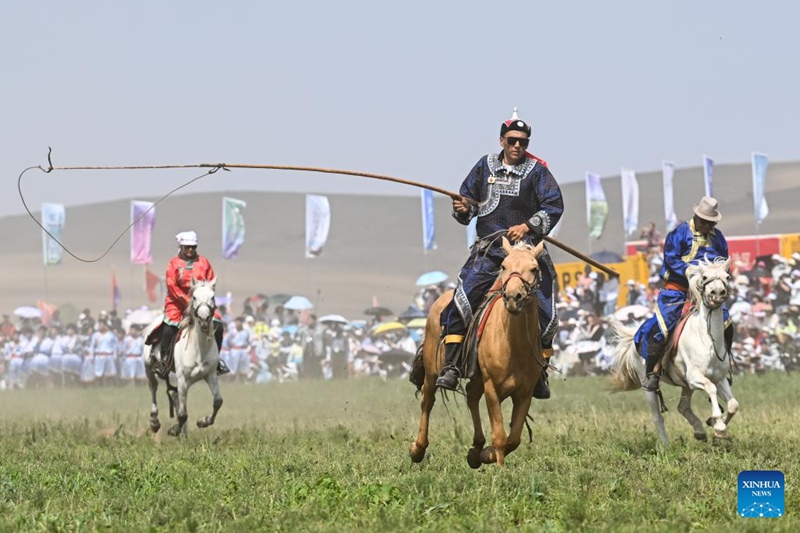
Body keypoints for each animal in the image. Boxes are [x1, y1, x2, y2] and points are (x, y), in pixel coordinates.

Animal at [142, 278, 223, 436]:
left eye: (213, 297)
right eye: (194, 297)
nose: (204, 318)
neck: (199, 348)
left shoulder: (210, 375)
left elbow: (218, 401)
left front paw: (203, 421)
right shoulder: (183, 379)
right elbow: (182, 414)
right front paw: (174, 430)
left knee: (174, 395)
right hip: (149, 368)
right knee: (153, 388)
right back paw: (154, 422)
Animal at [410, 237, 548, 466]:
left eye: (534, 268)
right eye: (504, 266)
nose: (513, 297)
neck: (514, 345)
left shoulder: (525, 392)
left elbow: (514, 438)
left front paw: (486, 454)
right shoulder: (492, 386)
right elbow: (500, 436)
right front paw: (498, 466)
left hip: (476, 377)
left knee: (471, 396)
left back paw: (476, 450)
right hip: (432, 372)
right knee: (427, 401)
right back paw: (417, 449)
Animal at [612, 258, 736, 444]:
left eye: (726, 276)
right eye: (705, 276)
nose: (717, 293)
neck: (707, 339)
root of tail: (635, 336)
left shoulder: (719, 378)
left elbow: (733, 405)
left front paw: (716, 424)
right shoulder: (695, 377)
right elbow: (710, 388)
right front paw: (718, 424)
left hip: (685, 384)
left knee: (682, 407)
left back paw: (699, 430)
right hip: (649, 385)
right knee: (658, 417)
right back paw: (666, 445)